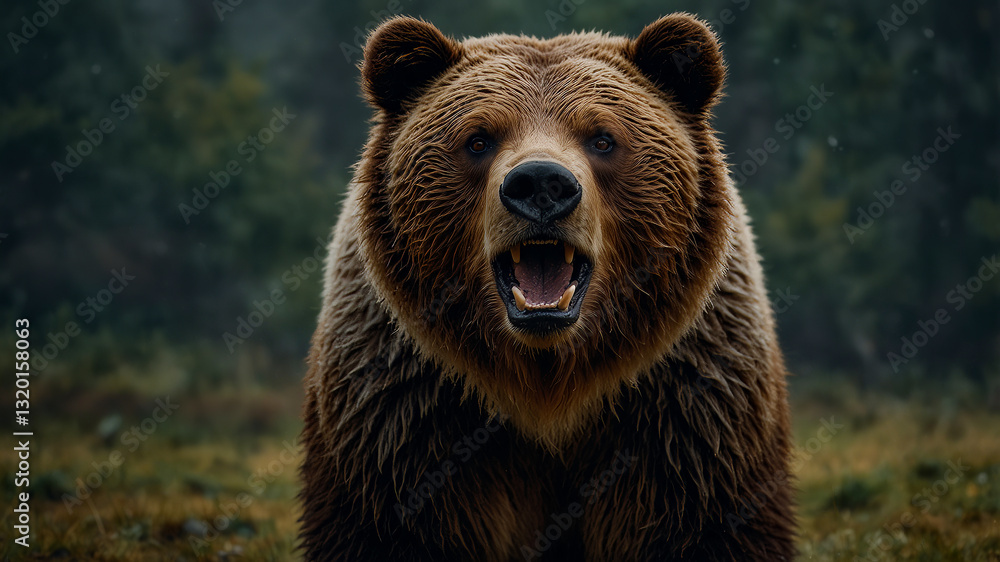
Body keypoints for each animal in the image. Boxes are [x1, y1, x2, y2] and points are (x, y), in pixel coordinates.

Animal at [299, 13, 795, 561]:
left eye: (603, 138)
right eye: (478, 139)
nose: (540, 183)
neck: (547, 384)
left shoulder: (686, 415)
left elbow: (706, 524)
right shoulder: (405, 416)